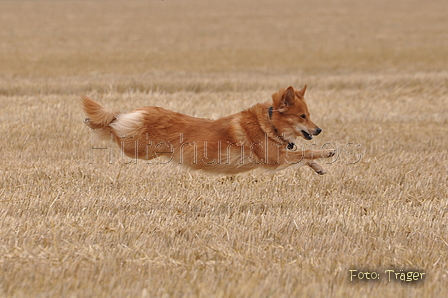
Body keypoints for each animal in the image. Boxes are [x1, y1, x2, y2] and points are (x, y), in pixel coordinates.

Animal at [81, 85, 336, 175]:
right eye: (302, 116)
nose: (319, 130)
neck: (269, 124)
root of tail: (142, 110)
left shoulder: (281, 156)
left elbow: (303, 156)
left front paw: (319, 168)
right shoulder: (274, 160)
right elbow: (305, 152)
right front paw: (328, 153)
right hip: (137, 148)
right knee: (113, 123)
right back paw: (95, 121)